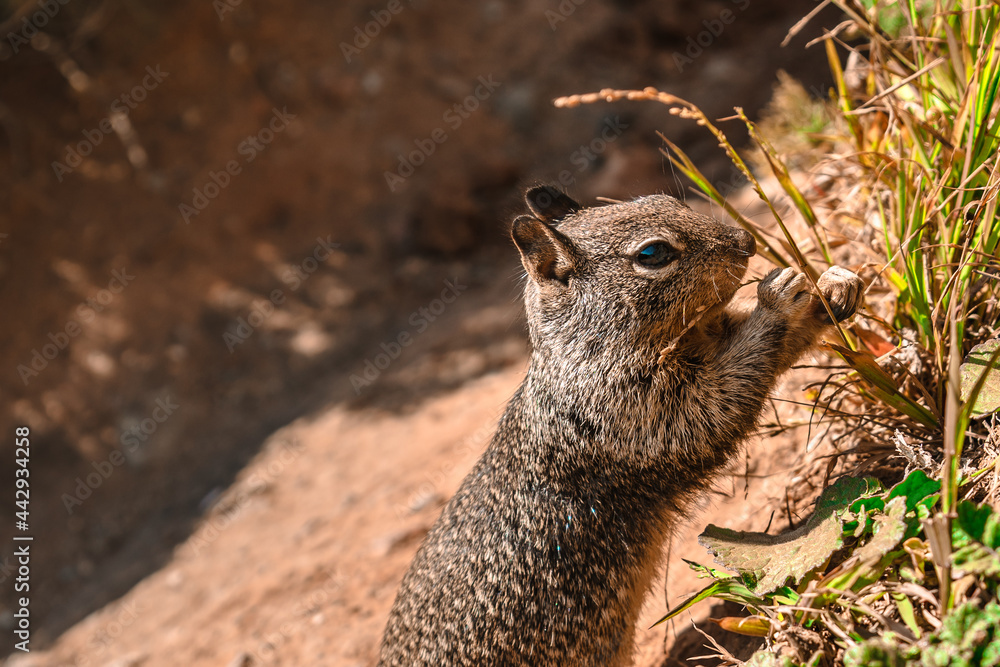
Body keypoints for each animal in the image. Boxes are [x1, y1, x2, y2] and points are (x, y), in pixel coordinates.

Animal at [377, 186, 864, 666]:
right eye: (653, 253)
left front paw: (834, 288)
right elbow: (716, 404)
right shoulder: (643, 414)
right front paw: (779, 300)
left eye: (668, 200)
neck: (580, 355)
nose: (747, 241)